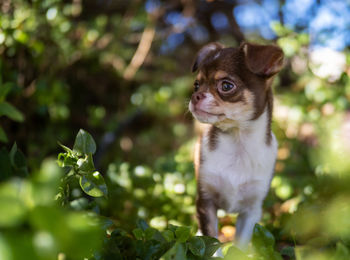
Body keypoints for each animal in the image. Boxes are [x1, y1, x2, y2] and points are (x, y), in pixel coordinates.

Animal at [189, 41, 284, 249]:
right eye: (196, 85)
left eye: (226, 86)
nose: (195, 96)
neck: (237, 142)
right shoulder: (205, 203)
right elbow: (211, 243)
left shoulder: (251, 211)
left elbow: (239, 247)